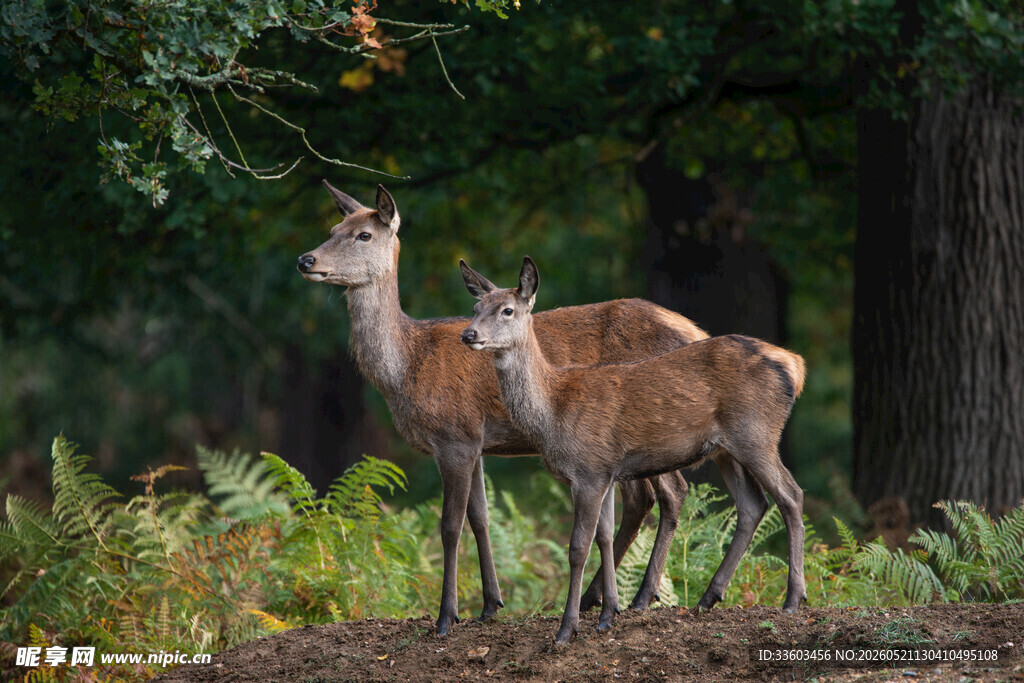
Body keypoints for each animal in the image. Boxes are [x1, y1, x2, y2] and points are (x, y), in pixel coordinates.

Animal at [297, 182, 705, 636]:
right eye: (332, 228)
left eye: (363, 235)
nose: (306, 259)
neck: (407, 369)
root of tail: (697, 332)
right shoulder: (475, 442)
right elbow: (480, 517)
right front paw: (491, 603)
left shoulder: (454, 436)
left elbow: (449, 525)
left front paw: (446, 616)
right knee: (645, 499)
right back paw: (600, 598)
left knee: (672, 492)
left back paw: (640, 597)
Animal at [459, 256, 807, 647]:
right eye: (475, 309)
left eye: (507, 310)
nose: (468, 334)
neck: (554, 410)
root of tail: (796, 366)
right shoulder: (605, 471)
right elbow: (605, 536)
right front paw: (607, 615)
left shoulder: (588, 470)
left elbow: (578, 547)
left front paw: (567, 628)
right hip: (727, 448)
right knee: (752, 504)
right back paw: (708, 597)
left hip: (757, 434)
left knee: (790, 495)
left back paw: (793, 599)